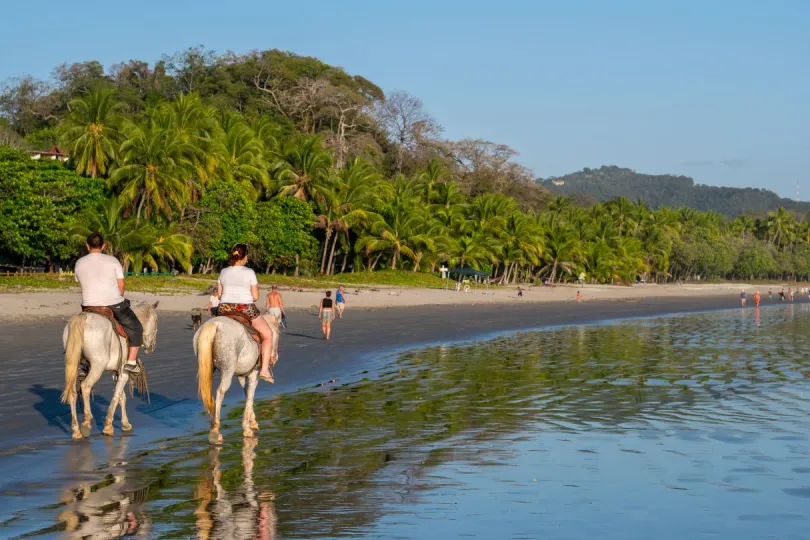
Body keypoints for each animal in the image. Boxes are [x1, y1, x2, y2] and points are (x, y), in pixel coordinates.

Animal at [60, 302, 159, 440]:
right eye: (156, 321)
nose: (151, 348)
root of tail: (83, 317)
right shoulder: (123, 372)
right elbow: (117, 395)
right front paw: (108, 427)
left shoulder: (115, 372)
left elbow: (122, 396)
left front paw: (125, 424)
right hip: (98, 366)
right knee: (85, 386)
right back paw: (86, 423)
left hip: (72, 366)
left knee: (73, 393)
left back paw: (76, 430)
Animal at [193, 312, 280, 442]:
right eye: (278, 332)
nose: (275, 357)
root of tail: (215, 324)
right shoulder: (253, 375)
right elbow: (250, 396)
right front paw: (247, 429)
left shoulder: (242, 377)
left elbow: (247, 394)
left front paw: (252, 422)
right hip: (227, 370)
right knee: (220, 392)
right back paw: (215, 430)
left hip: (206, 367)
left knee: (208, 393)